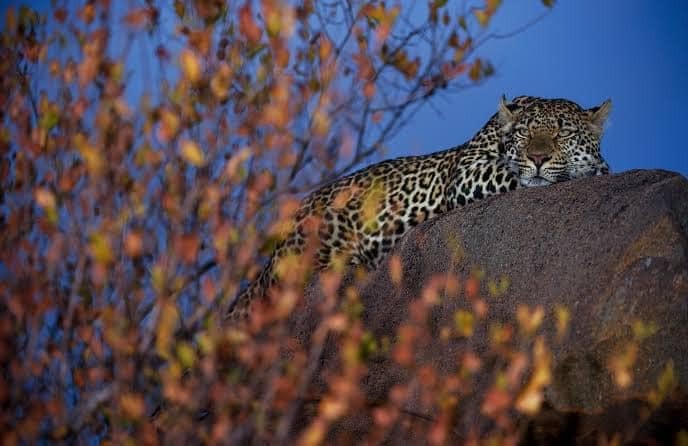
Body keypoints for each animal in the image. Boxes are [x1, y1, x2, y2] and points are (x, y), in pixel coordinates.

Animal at [226, 95, 612, 320]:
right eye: (525, 134)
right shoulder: (467, 172)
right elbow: (510, 172)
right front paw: (589, 169)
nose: (538, 158)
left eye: (563, 134)